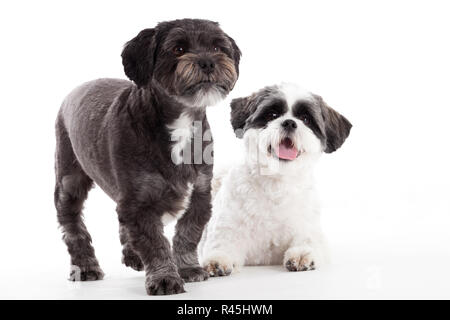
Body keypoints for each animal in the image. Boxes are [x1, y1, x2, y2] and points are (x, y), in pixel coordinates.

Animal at [54, 19, 241, 296]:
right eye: (178, 48)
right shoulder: (140, 201)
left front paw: (187, 268)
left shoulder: (200, 192)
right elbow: (154, 242)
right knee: (72, 225)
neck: (180, 120)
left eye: (218, 47)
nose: (208, 62)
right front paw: (165, 278)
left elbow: (188, 233)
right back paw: (86, 266)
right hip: (69, 178)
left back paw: (132, 255)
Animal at [200, 84, 352, 276]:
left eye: (306, 119)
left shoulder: (310, 227)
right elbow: (221, 242)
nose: (290, 122)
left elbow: (309, 240)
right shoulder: (226, 223)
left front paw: (302, 255)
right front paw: (218, 259)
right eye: (272, 115)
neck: (276, 183)